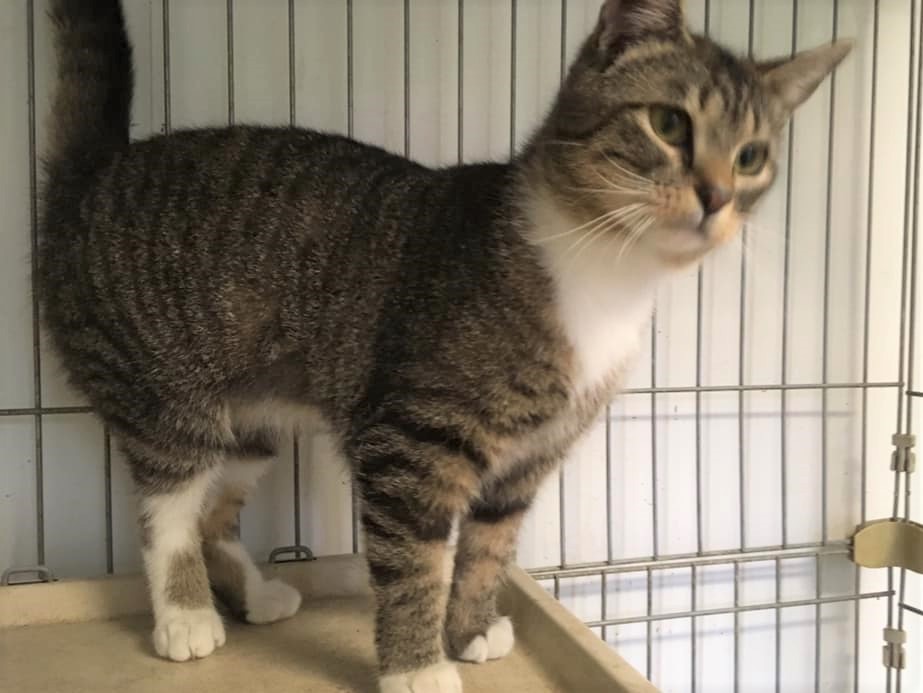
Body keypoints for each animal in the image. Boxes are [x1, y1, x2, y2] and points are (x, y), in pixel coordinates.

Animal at [43, 1, 852, 692]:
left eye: (751, 156)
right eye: (668, 123)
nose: (718, 197)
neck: (606, 272)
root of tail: (93, 175)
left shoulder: (532, 453)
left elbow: (487, 547)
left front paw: (468, 629)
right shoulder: (412, 438)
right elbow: (414, 561)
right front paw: (416, 664)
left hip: (255, 422)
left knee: (217, 505)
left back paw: (256, 592)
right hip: (164, 390)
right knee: (168, 506)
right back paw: (185, 614)